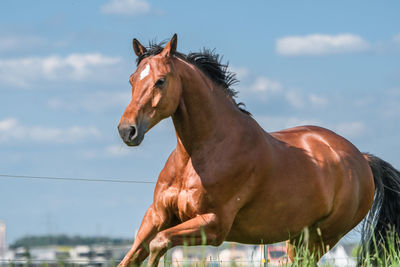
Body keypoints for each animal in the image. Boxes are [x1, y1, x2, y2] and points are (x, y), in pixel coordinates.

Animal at [117, 34, 400, 266]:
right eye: (131, 80)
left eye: (160, 81)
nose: (126, 130)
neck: (200, 154)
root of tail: (361, 159)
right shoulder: (157, 216)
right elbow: (132, 255)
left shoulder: (214, 224)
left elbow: (158, 244)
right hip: (297, 238)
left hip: (321, 238)